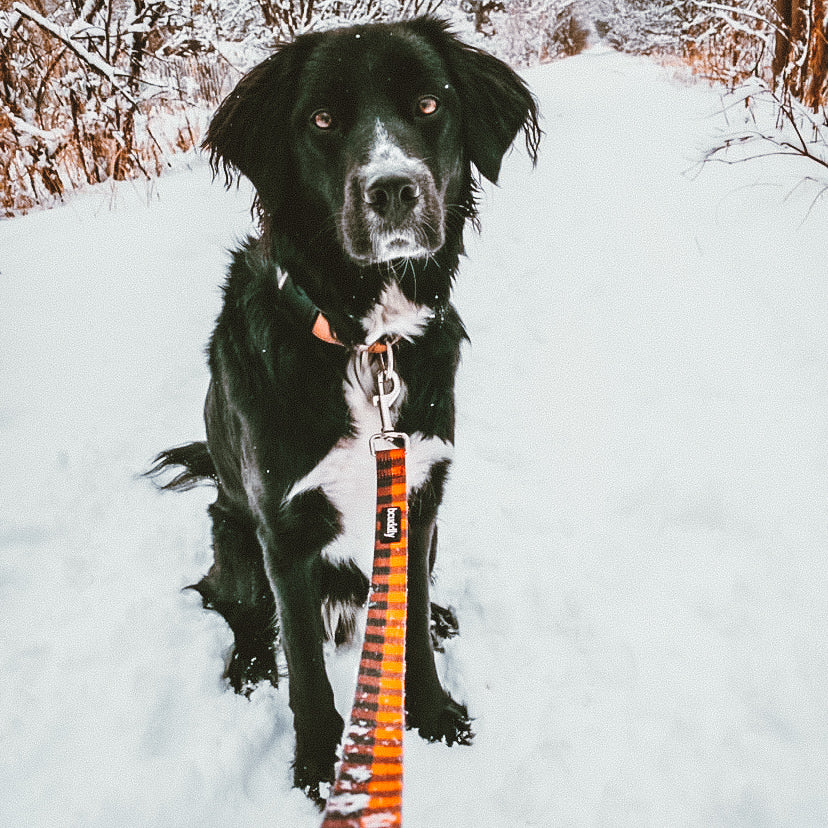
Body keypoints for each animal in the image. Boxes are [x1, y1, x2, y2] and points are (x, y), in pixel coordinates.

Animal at [149, 14, 536, 804]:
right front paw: (321, 765)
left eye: (428, 103)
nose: (393, 191)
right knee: (233, 607)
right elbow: (303, 661)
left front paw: (431, 710)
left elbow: (407, 623)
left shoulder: (419, 495)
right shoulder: (283, 527)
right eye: (322, 119)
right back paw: (248, 663)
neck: (366, 342)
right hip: (233, 532)